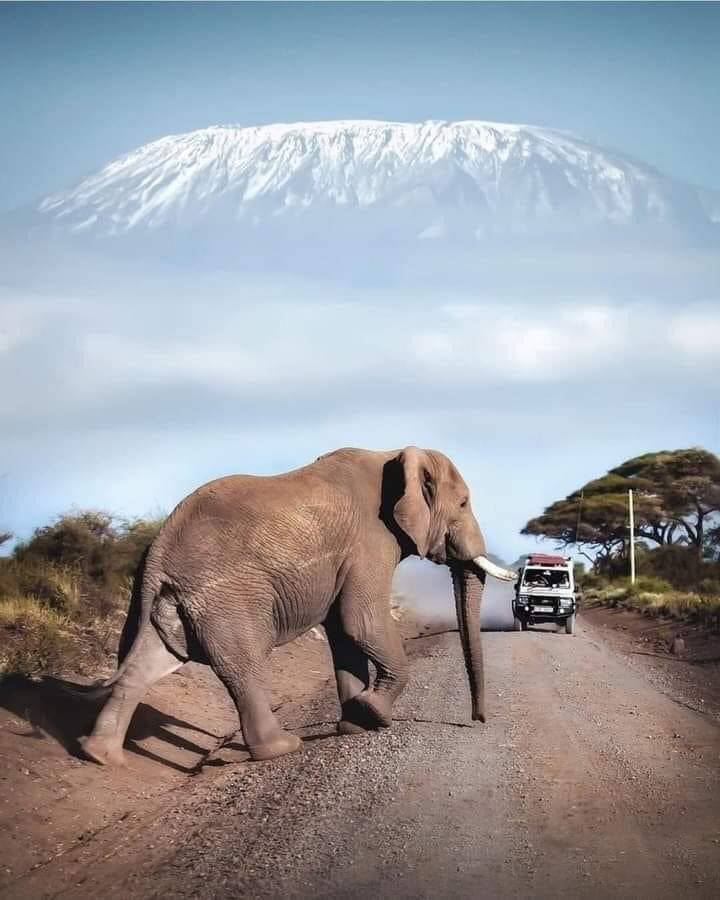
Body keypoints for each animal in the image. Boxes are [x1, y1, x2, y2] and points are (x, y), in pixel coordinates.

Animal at [80, 446, 515, 766]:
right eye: (464, 503)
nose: (477, 721)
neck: (393, 455)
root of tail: (159, 550)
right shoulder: (370, 540)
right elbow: (361, 622)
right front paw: (373, 712)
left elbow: (344, 634)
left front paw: (355, 725)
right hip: (226, 598)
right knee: (246, 665)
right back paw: (281, 747)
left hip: (167, 600)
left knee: (148, 663)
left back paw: (100, 757)